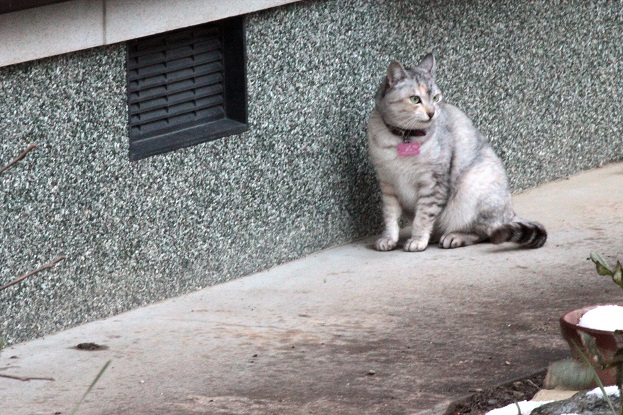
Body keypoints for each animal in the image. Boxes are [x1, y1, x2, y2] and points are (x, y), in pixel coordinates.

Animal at [368, 52, 548, 254]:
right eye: (415, 99)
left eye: (436, 98)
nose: (432, 112)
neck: (404, 137)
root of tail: (510, 213)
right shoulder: (387, 183)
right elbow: (390, 216)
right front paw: (388, 239)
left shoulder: (433, 182)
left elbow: (423, 216)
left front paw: (417, 240)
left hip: (473, 187)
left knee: (487, 232)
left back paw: (454, 237)